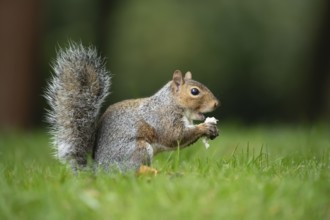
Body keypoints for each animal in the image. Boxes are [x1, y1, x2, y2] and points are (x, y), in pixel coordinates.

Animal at [43, 42, 219, 174]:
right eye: (194, 92)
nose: (216, 103)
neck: (171, 102)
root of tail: (98, 171)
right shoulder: (162, 118)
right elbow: (175, 136)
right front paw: (205, 127)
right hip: (138, 150)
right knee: (132, 172)